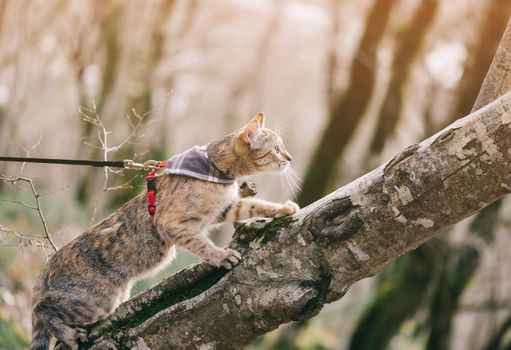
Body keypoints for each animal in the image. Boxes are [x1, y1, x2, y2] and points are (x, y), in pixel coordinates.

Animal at [30, 114, 300, 350]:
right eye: (277, 148)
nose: (290, 157)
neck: (217, 170)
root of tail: (47, 267)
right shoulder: (172, 223)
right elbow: (201, 244)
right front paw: (221, 256)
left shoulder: (225, 208)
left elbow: (254, 205)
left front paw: (283, 209)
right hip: (97, 300)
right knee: (41, 309)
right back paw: (68, 334)